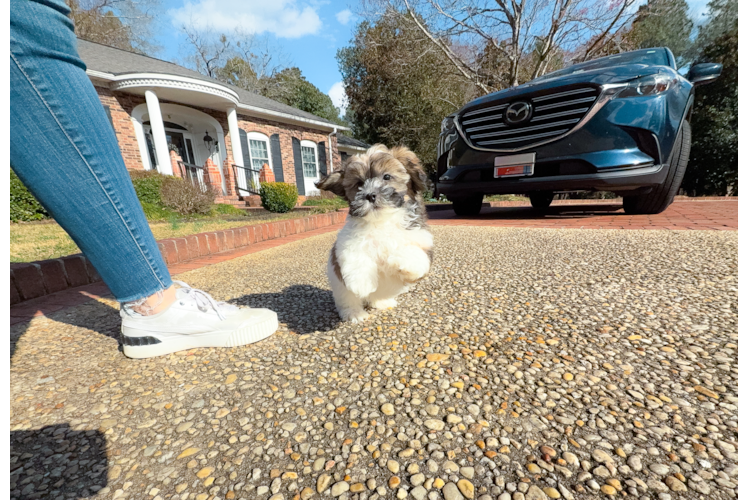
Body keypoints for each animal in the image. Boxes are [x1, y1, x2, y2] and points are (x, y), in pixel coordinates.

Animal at [314, 145, 432, 324]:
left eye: (387, 176)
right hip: (340, 287)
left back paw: (382, 302)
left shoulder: (421, 239)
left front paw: (398, 257)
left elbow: (414, 255)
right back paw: (354, 313)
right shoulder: (347, 241)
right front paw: (362, 283)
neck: (382, 221)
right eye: (359, 184)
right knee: (348, 300)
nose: (370, 195)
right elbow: (355, 256)